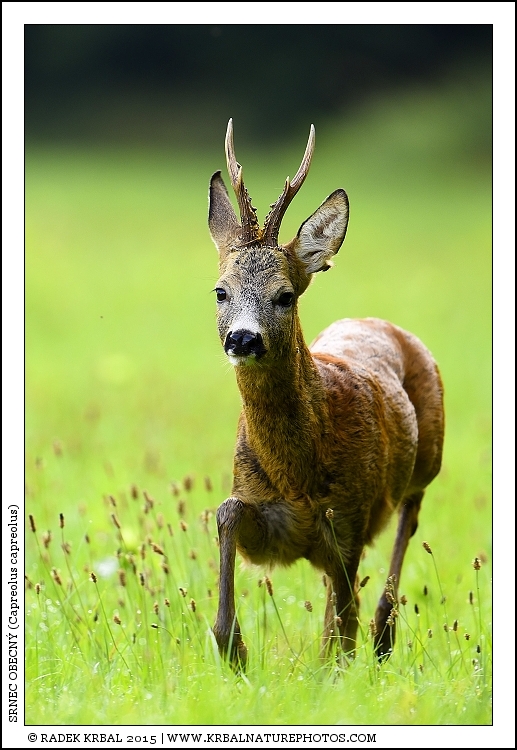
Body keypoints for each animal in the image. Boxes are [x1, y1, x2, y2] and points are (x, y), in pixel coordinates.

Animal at [208, 119, 444, 669]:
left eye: (285, 295)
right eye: (220, 291)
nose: (243, 339)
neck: (297, 474)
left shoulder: (350, 515)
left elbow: (344, 615)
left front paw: (335, 672)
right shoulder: (272, 525)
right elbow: (226, 512)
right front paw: (233, 647)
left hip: (427, 463)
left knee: (401, 531)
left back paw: (383, 637)